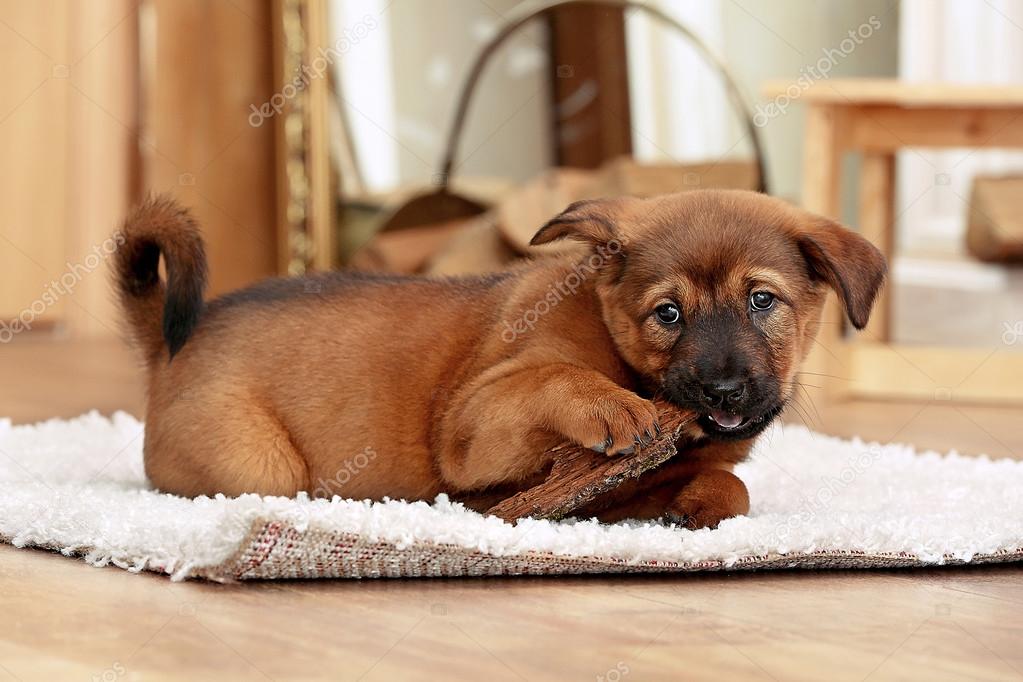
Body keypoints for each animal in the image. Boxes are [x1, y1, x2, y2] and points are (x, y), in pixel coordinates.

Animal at [114, 191, 887, 527]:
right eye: (667, 314)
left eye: (762, 301)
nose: (725, 392)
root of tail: (175, 340)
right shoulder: (470, 425)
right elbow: (553, 376)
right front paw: (611, 408)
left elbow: (731, 486)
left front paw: (697, 508)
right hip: (258, 467)